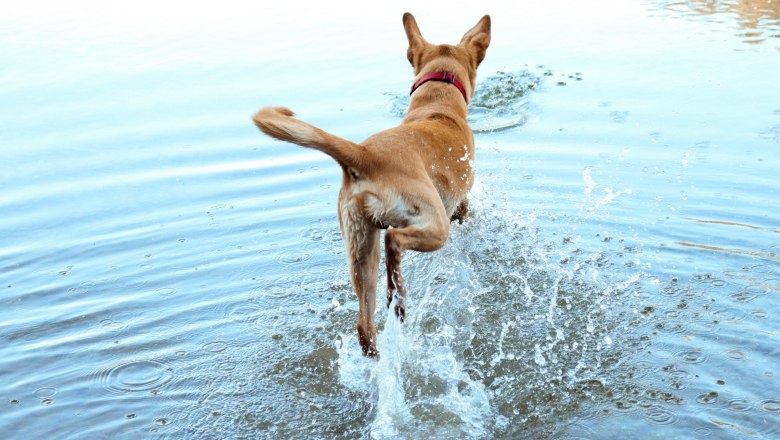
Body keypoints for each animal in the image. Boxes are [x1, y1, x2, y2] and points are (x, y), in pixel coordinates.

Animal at [253, 12, 490, 358]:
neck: (438, 102)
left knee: (364, 325)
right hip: (431, 221)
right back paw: (399, 299)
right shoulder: (460, 205)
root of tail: (363, 154)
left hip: (361, 247)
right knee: (394, 241)